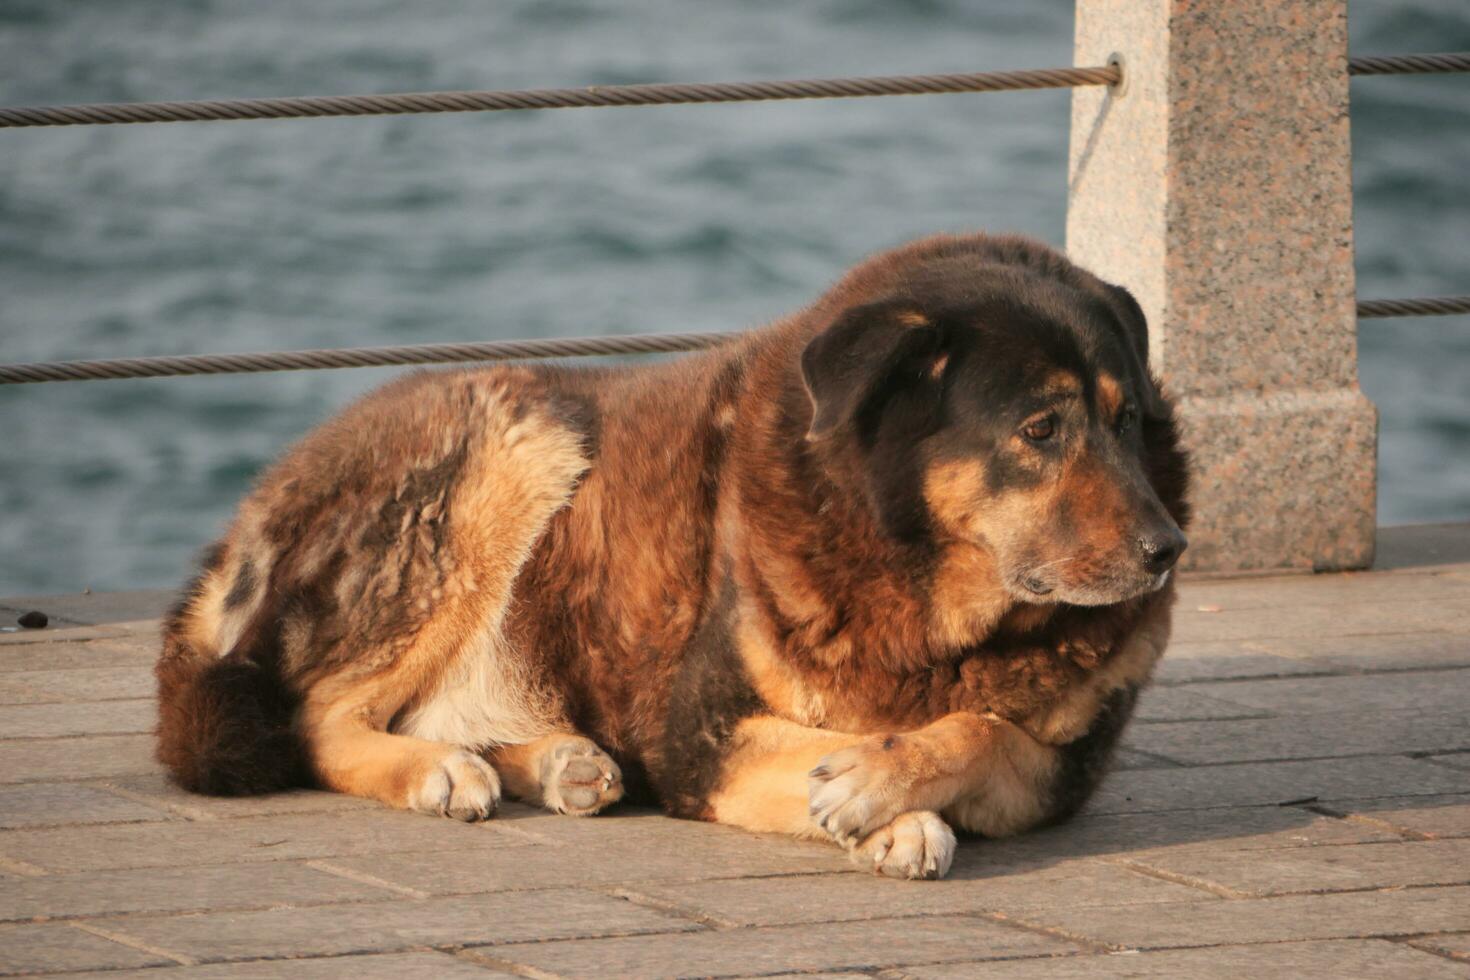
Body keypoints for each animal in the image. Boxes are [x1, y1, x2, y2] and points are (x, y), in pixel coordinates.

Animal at [158, 235, 1193, 881]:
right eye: (1041, 428)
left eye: (1127, 420)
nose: (1167, 550)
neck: (921, 589)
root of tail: (254, 508)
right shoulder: (703, 736)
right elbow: (850, 746)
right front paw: (879, 797)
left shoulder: (1058, 770)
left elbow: (981, 729)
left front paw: (878, 780)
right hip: (516, 440)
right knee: (320, 717)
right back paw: (438, 771)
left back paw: (562, 761)